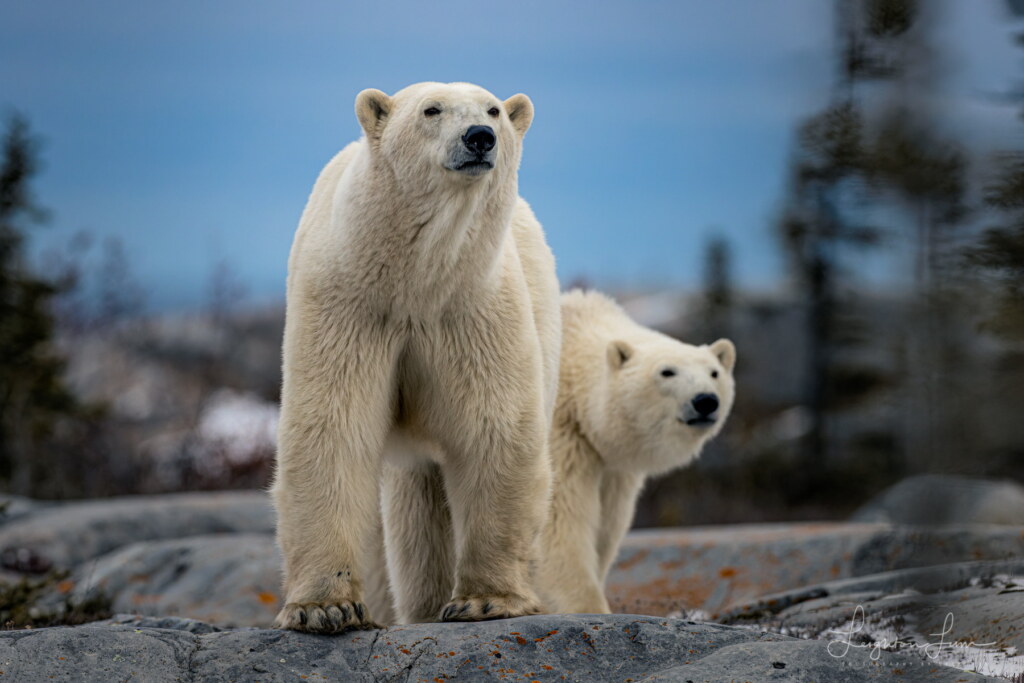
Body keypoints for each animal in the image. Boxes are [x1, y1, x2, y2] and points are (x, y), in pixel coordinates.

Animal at [271, 82, 561, 633]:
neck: (417, 280)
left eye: (493, 109)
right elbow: (331, 426)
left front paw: (485, 600)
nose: (480, 137)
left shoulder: (474, 312)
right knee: (415, 506)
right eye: (432, 110)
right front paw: (326, 607)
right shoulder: (348, 306)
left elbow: (494, 429)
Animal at [534, 289, 736, 613]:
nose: (705, 401)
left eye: (714, 372)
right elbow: (559, 518)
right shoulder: (560, 433)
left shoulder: (612, 465)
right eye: (667, 371)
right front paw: (589, 607)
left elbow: (608, 523)